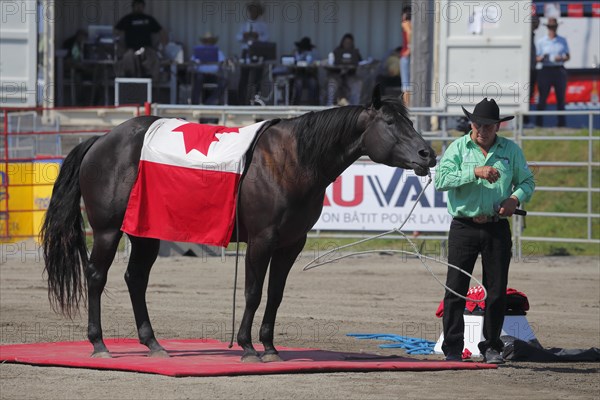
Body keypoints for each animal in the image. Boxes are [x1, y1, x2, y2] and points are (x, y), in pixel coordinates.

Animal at [41, 87, 436, 362]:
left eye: (409, 122)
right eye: (390, 123)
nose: (427, 154)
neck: (292, 160)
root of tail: (101, 141)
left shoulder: (291, 244)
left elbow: (275, 294)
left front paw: (270, 347)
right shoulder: (262, 240)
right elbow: (253, 292)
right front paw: (247, 346)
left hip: (145, 234)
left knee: (135, 279)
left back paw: (153, 343)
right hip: (108, 231)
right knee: (96, 276)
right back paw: (99, 343)